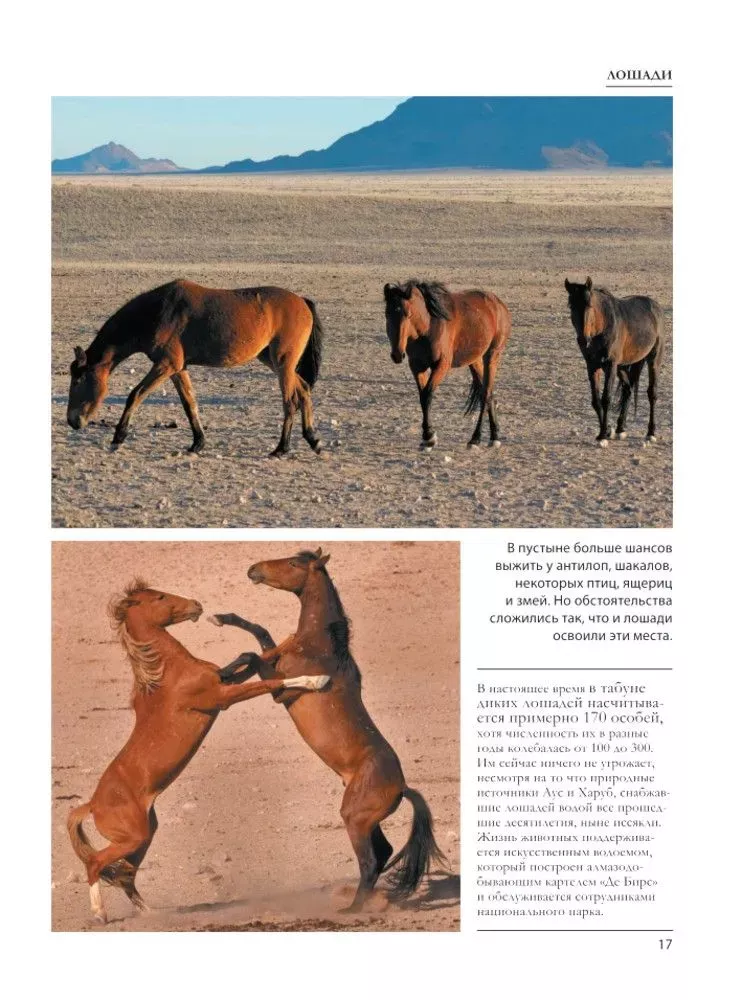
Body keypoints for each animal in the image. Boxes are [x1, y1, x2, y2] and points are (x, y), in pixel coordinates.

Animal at [66, 280, 324, 457]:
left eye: (78, 380)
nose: (73, 421)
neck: (157, 312)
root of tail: (302, 301)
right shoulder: (177, 369)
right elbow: (189, 403)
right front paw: (197, 443)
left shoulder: (166, 365)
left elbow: (135, 395)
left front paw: (118, 437)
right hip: (273, 361)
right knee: (303, 389)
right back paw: (312, 439)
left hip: (282, 362)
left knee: (290, 401)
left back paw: (282, 448)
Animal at [66, 580, 329, 924]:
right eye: (160, 597)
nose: (196, 605)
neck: (168, 672)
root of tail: (92, 805)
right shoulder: (223, 697)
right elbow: (271, 682)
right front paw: (318, 679)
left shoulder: (224, 681)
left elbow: (252, 656)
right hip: (132, 837)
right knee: (96, 863)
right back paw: (100, 913)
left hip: (143, 835)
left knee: (125, 874)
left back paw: (151, 913)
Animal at [210, 548, 445, 913]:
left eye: (294, 563)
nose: (253, 569)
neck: (319, 645)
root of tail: (403, 787)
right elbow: (260, 637)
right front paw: (223, 626)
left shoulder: (281, 692)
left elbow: (253, 654)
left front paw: (224, 672)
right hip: (366, 821)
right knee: (384, 853)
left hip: (354, 819)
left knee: (370, 862)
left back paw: (352, 910)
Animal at [383, 279, 511, 449]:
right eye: (387, 314)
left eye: (408, 314)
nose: (397, 354)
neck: (429, 327)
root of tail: (498, 304)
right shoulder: (417, 367)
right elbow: (422, 396)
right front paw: (427, 437)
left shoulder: (441, 365)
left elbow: (428, 394)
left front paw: (429, 436)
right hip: (475, 360)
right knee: (489, 394)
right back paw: (494, 436)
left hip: (492, 355)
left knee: (485, 394)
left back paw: (475, 438)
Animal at [564, 277, 665, 446]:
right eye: (571, 305)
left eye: (589, 305)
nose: (583, 340)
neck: (602, 327)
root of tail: (655, 307)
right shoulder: (593, 367)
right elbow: (596, 401)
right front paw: (604, 432)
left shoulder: (610, 366)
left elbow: (606, 399)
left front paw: (603, 437)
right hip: (622, 366)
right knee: (627, 389)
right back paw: (620, 429)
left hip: (653, 360)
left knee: (652, 393)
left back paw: (650, 433)